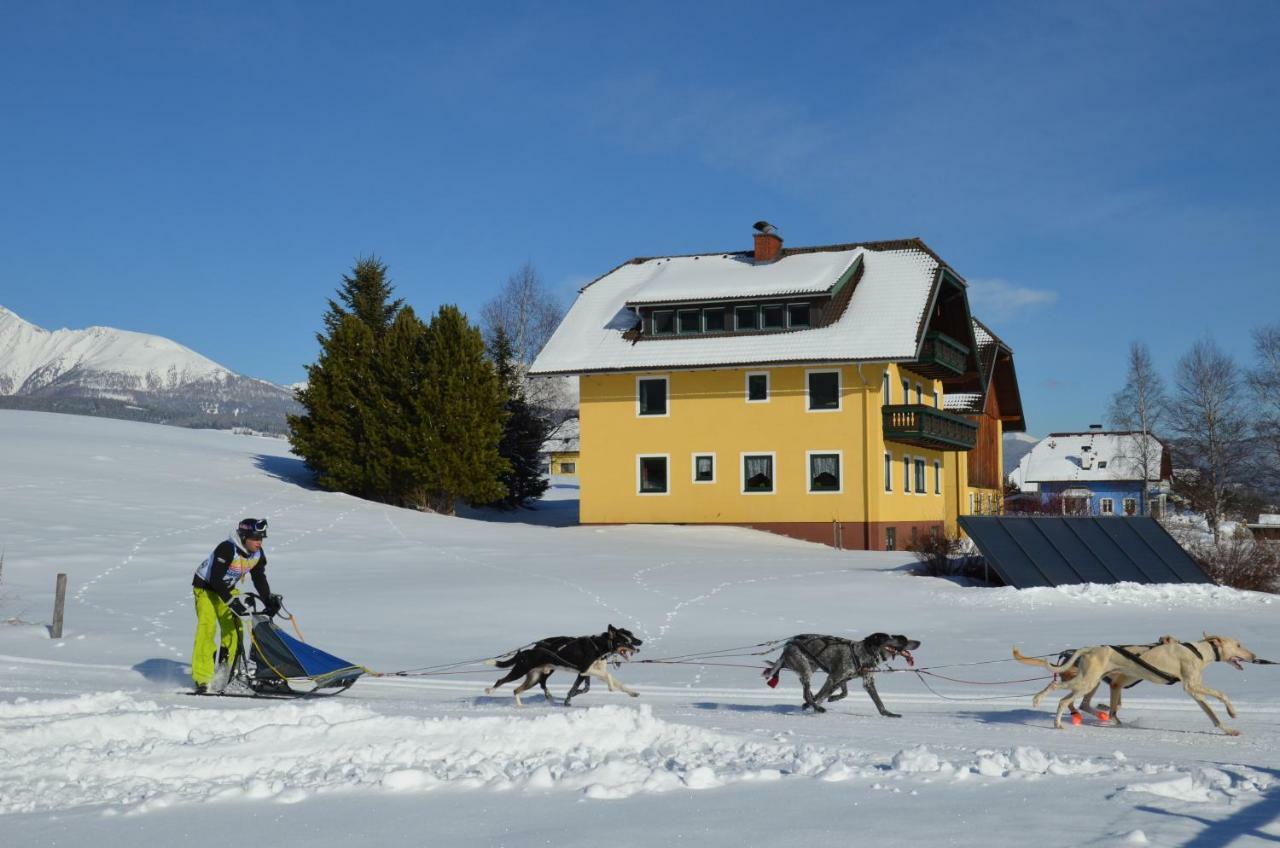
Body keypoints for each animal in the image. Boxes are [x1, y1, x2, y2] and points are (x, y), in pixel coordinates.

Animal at [757, 630, 921, 717]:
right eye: (897, 638)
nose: (918, 642)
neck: (862, 653)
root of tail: (789, 643)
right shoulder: (833, 678)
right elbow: (822, 695)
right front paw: (814, 706)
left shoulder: (856, 681)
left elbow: (875, 701)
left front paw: (888, 714)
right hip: (806, 670)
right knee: (806, 693)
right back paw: (817, 707)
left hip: (809, 667)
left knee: (805, 690)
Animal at [1008, 637, 1259, 737]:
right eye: (1238, 644)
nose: (1255, 656)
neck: (1199, 651)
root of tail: (1089, 648)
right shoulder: (1192, 686)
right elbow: (1222, 694)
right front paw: (1232, 711)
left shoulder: (1195, 691)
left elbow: (1213, 716)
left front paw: (1228, 729)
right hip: (1086, 682)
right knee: (1059, 695)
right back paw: (1050, 713)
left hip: (1090, 682)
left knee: (1076, 699)